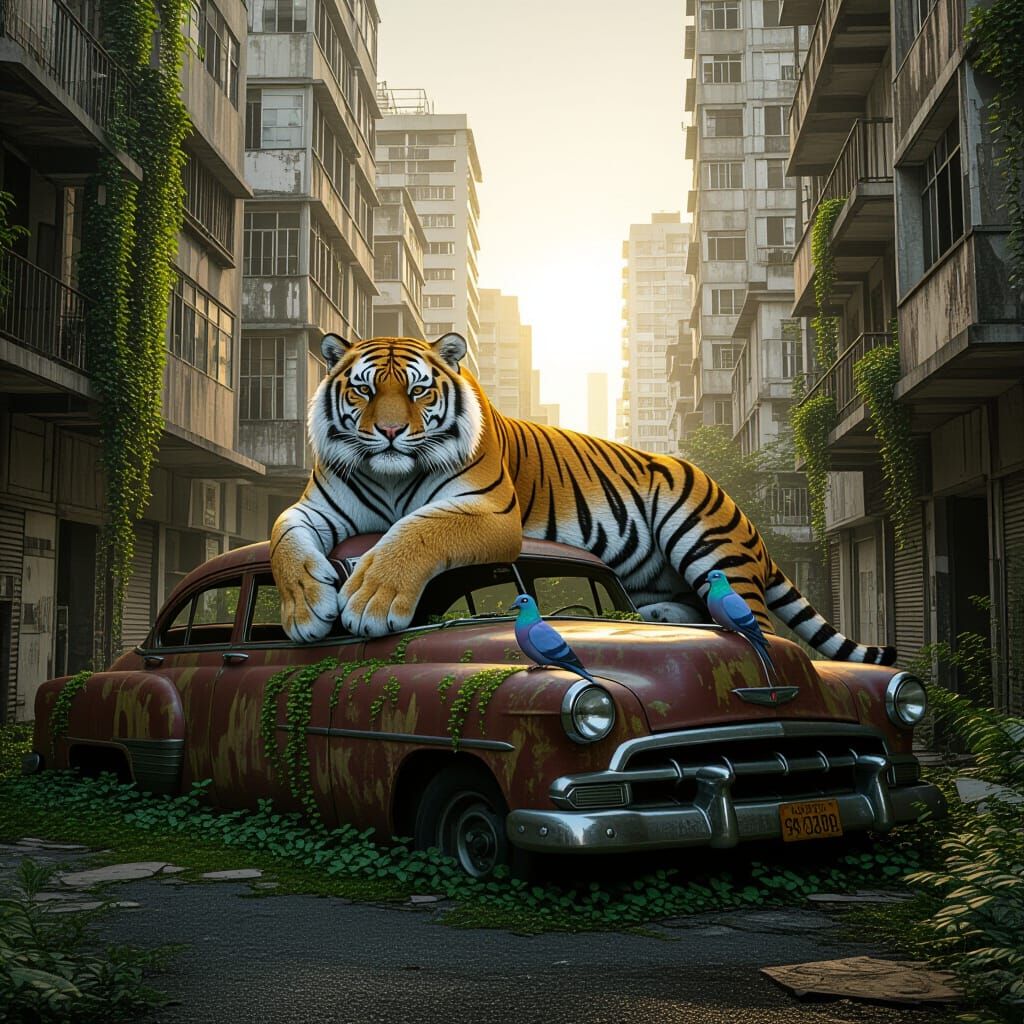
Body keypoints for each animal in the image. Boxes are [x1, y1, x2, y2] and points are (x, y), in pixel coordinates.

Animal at [270, 332, 896, 665]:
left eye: (419, 390)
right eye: (363, 389)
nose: (391, 432)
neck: (391, 476)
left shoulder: (489, 511)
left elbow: (418, 530)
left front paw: (370, 599)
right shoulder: (314, 508)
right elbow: (283, 541)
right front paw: (305, 610)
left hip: (705, 540)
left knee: (755, 620)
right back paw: (658, 618)